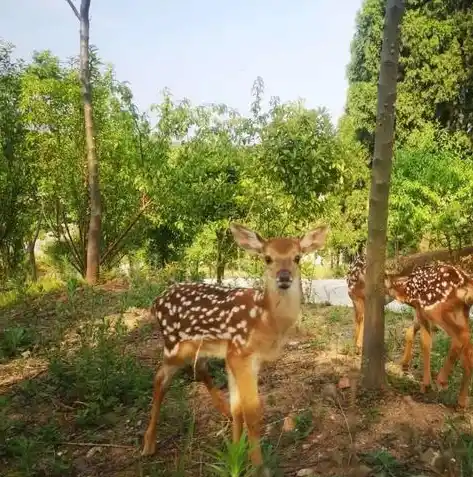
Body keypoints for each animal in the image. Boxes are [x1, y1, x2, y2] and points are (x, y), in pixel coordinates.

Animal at [140, 221, 328, 470]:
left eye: (297, 257)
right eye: (267, 258)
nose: (284, 277)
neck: (265, 319)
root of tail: (155, 302)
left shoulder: (240, 357)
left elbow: (238, 408)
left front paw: (235, 455)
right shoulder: (240, 352)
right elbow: (252, 413)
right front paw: (257, 465)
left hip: (200, 347)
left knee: (198, 369)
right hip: (173, 345)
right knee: (160, 378)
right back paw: (148, 444)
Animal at [384, 260, 472, 406]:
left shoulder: (422, 309)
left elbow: (425, 342)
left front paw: (425, 384)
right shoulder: (419, 311)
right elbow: (410, 332)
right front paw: (404, 363)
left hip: (437, 309)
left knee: (462, 336)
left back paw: (442, 380)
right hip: (461, 312)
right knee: (468, 345)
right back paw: (461, 402)